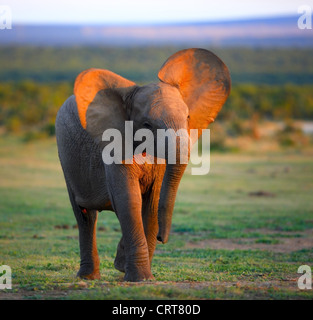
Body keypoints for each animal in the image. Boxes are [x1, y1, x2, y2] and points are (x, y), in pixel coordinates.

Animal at [54, 48, 229, 282]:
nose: (163, 237)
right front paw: (140, 278)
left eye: (188, 117)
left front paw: (126, 267)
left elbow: (153, 202)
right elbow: (129, 199)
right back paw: (88, 277)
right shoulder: (114, 145)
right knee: (84, 215)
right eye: (146, 124)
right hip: (66, 156)